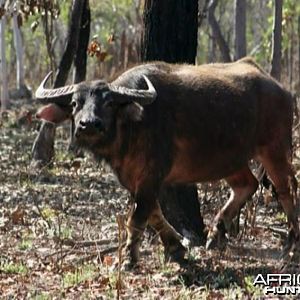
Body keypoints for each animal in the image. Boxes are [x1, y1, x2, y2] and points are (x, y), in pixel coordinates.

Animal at [36, 57, 298, 268]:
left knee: (286, 189)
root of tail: (282, 90)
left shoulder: (152, 175)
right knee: (247, 184)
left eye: (109, 103)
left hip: (274, 149)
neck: (132, 128)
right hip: (230, 160)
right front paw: (175, 248)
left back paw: (291, 242)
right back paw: (216, 234)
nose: (89, 124)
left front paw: (130, 259)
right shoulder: (133, 179)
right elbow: (154, 214)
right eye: (74, 103)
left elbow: (137, 217)